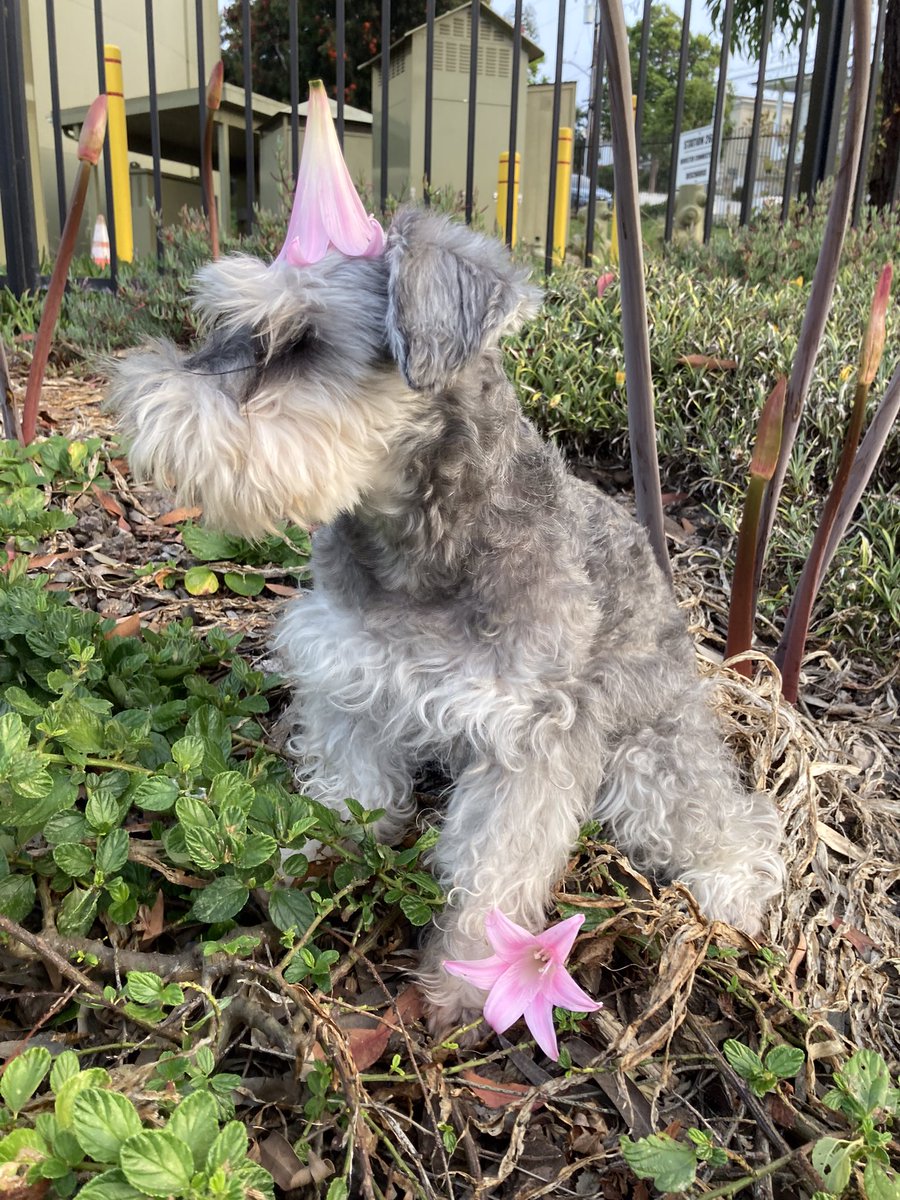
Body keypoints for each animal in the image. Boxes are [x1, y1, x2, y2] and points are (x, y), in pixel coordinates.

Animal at [112, 208, 787, 1032]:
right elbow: (348, 790)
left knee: (723, 816)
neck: (423, 547)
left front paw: (469, 981)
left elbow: (493, 871)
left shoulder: (530, 739)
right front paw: (309, 859)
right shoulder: (352, 676)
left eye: (302, 342)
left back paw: (732, 881)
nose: (144, 403)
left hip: (648, 758)